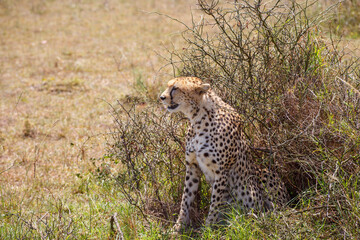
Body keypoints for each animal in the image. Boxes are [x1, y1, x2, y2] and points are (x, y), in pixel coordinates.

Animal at [159, 77, 288, 231]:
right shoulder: (192, 167)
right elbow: (186, 199)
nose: (161, 97)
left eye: (175, 88)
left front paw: (208, 228)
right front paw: (178, 227)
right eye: (168, 86)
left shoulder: (221, 171)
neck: (198, 119)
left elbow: (215, 202)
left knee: (277, 210)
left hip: (265, 175)